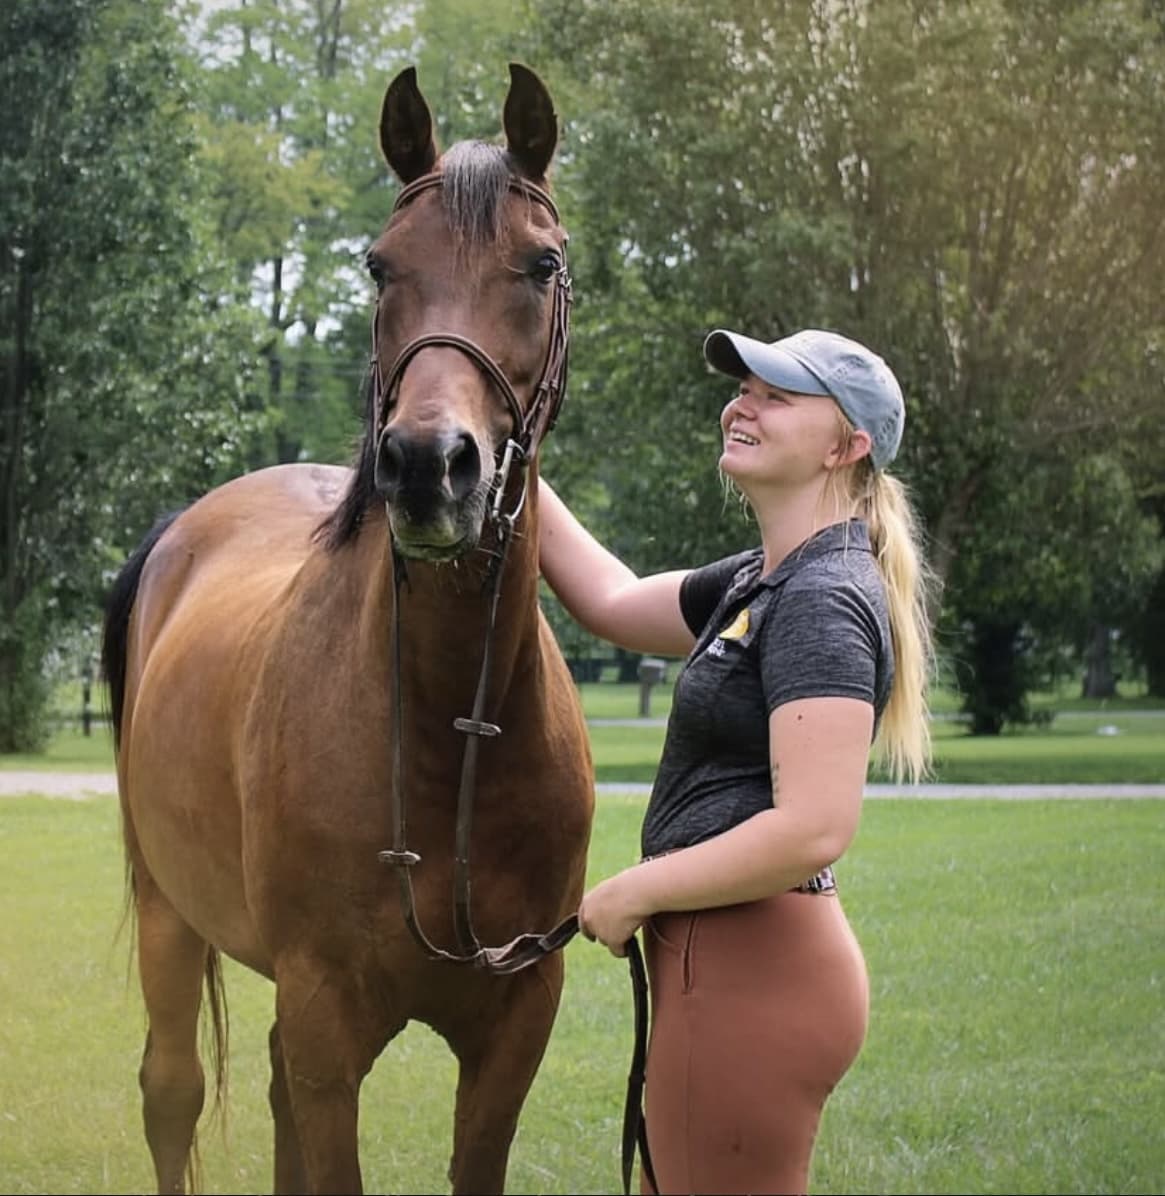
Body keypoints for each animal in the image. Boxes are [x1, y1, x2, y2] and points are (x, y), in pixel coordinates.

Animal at [100, 63, 595, 1195]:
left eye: (542, 263)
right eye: (379, 264)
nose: (426, 466)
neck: (443, 733)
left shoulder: (518, 1022)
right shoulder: (328, 1015)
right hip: (166, 913)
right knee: (170, 1091)